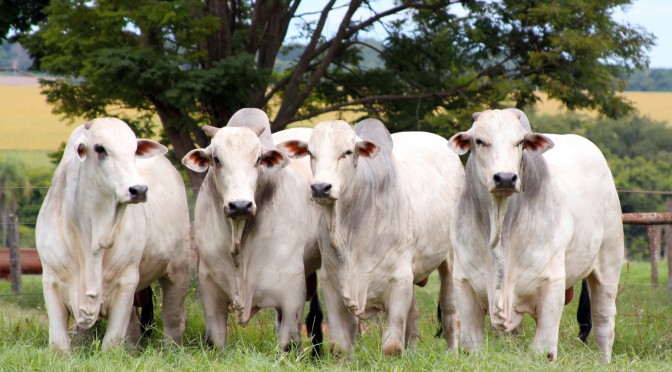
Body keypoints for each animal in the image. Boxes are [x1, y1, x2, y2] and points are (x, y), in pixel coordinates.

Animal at [35, 118, 190, 352]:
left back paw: (171, 349)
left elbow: (112, 342)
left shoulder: (126, 281)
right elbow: (59, 342)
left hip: (178, 270)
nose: (139, 189)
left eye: (134, 150)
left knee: (173, 320)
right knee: (134, 327)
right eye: (100, 149)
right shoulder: (51, 279)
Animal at [182, 107, 322, 354]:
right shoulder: (210, 288)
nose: (240, 205)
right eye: (216, 159)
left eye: (258, 159)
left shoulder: (291, 290)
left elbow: (288, 342)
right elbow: (215, 341)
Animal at [280, 119, 468, 354]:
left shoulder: (399, 281)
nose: (321, 188)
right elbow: (340, 347)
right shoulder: (332, 284)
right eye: (310, 153)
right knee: (414, 316)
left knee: (451, 312)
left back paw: (453, 353)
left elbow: (392, 347)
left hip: (450, 259)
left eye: (347, 152)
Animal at [446, 109, 624, 362]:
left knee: (603, 321)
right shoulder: (464, 283)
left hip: (608, 262)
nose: (505, 178)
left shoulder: (552, 284)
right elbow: (471, 345)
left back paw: (603, 360)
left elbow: (543, 350)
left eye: (520, 142)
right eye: (479, 141)